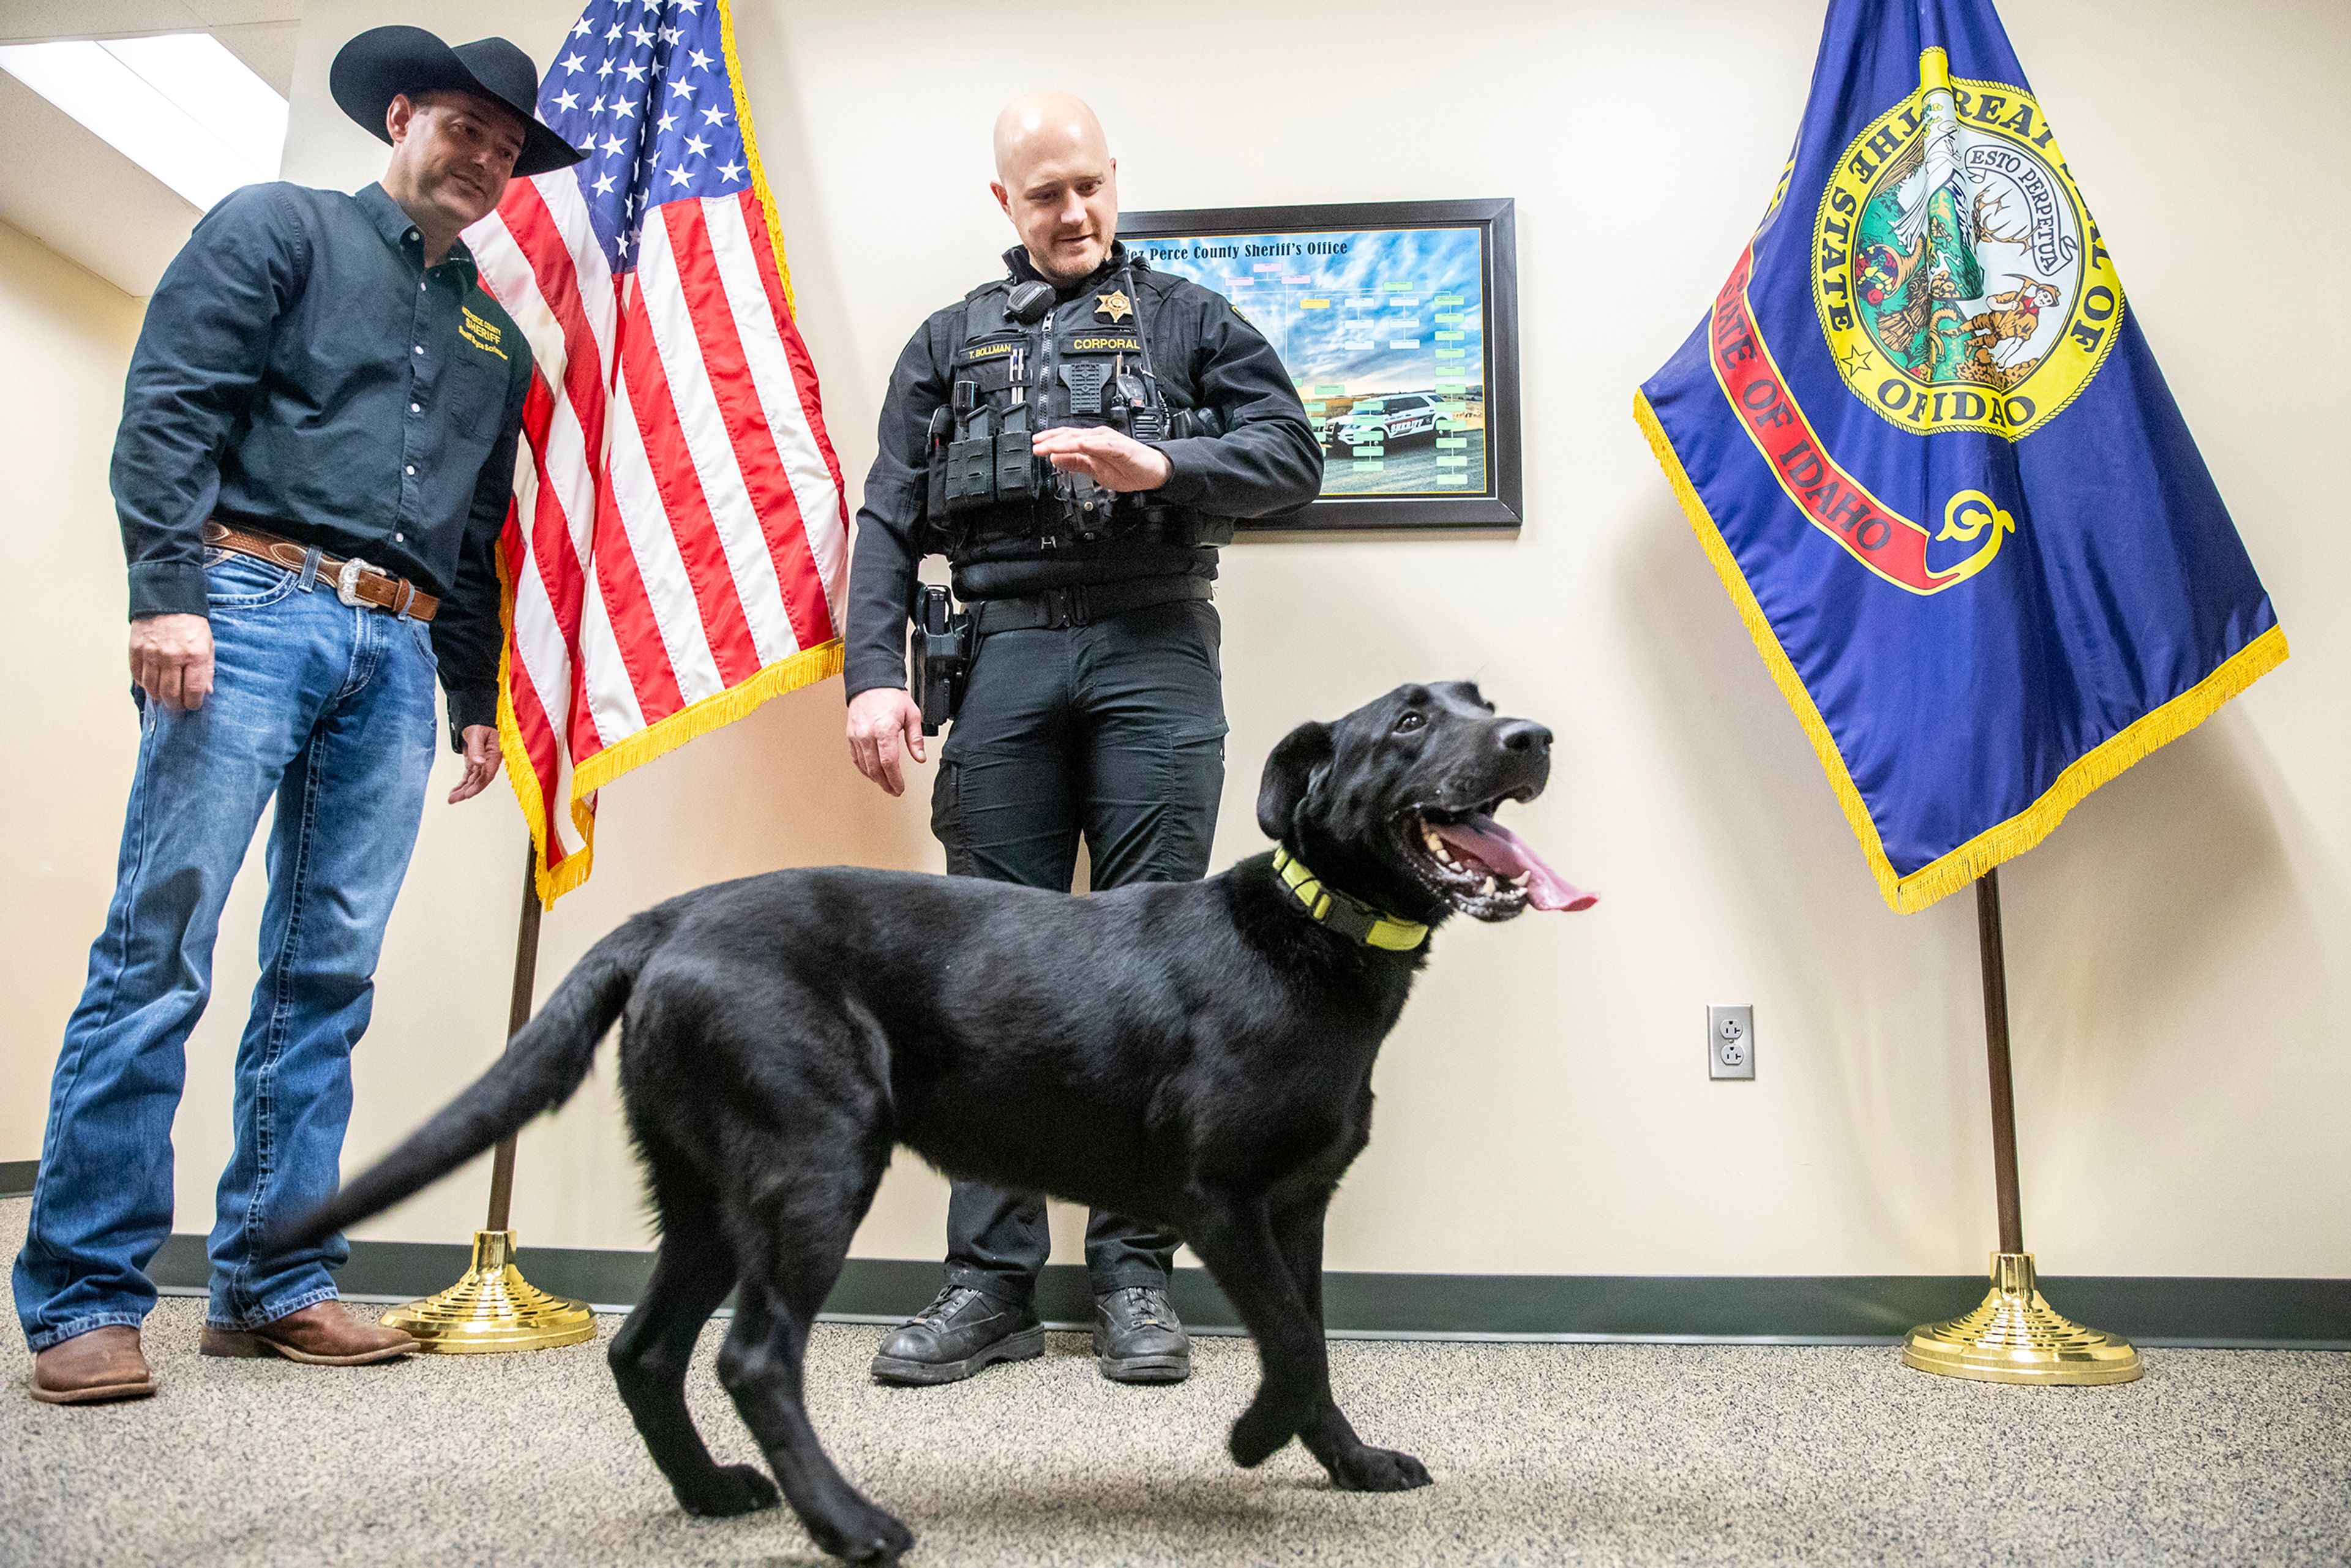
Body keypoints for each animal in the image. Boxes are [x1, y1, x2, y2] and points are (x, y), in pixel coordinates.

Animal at [279, 681, 1599, 1561]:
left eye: (1482, 701)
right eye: (1412, 722)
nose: (1533, 736)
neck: (1318, 930)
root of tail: (666, 921)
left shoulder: (1301, 1205)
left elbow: (1313, 1339)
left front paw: (1351, 1463)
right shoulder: (1223, 1199)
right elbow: (1294, 1341)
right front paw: (1251, 1440)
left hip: (707, 1193)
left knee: (644, 1349)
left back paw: (712, 1495)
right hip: (816, 1163)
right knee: (753, 1357)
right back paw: (853, 1523)